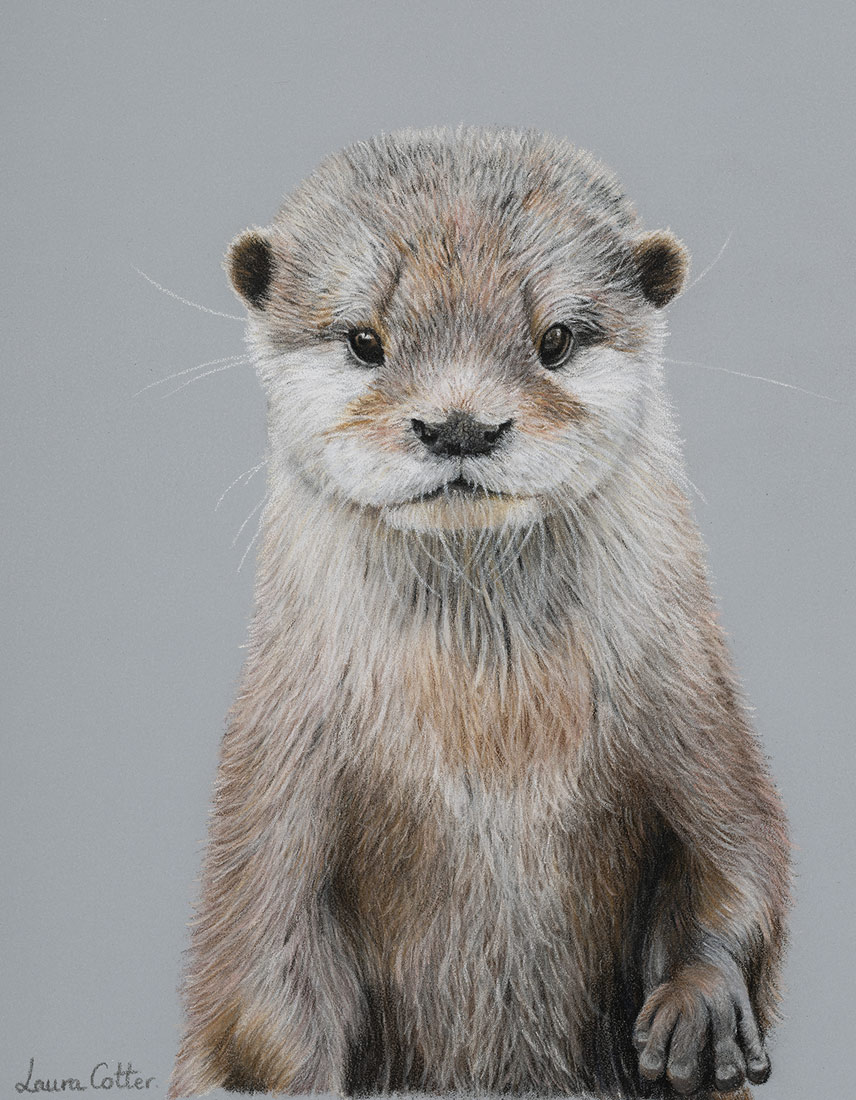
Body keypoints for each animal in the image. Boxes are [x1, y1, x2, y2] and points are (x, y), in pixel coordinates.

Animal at [169, 127, 790, 1100]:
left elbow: (739, 851)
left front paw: (702, 1004)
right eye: (365, 339)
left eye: (556, 337)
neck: (492, 742)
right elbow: (261, 981)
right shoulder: (278, 791)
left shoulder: (695, 720)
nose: (460, 424)